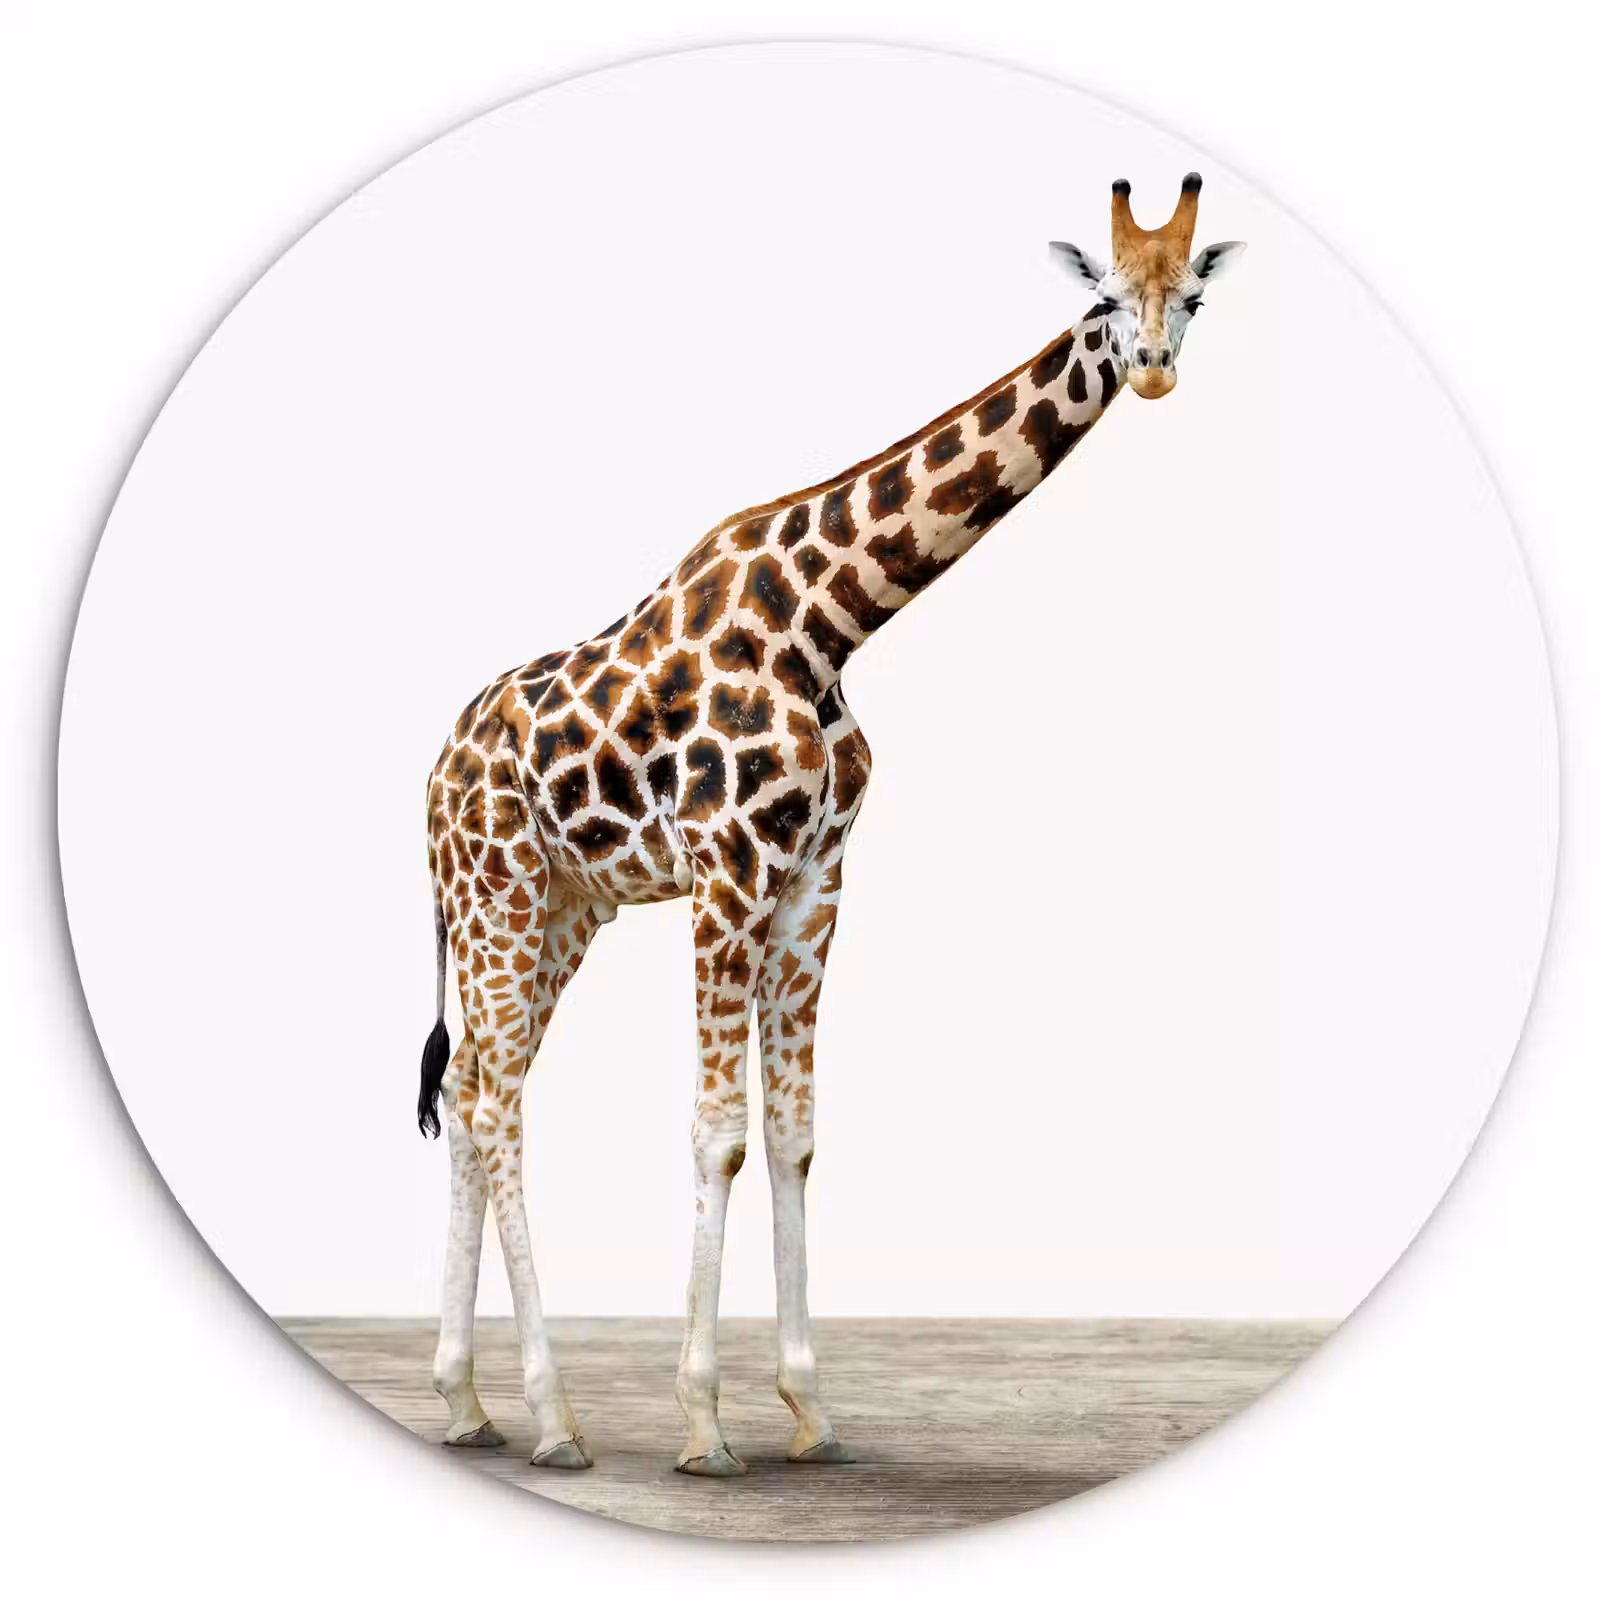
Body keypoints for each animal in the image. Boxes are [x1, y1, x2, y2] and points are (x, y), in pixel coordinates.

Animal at [416, 173, 1245, 1476]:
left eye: (1193, 296)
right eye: (1107, 297)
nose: (1154, 369)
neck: (827, 620)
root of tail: (432, 773)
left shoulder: (814, 882)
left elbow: (796, 1131)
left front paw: (809, 1409)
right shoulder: (727, 876)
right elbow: (717, 1132)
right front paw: (703, 1423)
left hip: (561, 909)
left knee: (467, 1095)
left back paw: (464, 1401)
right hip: (494, 895)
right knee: (498, 1103)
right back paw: (553, 1417)